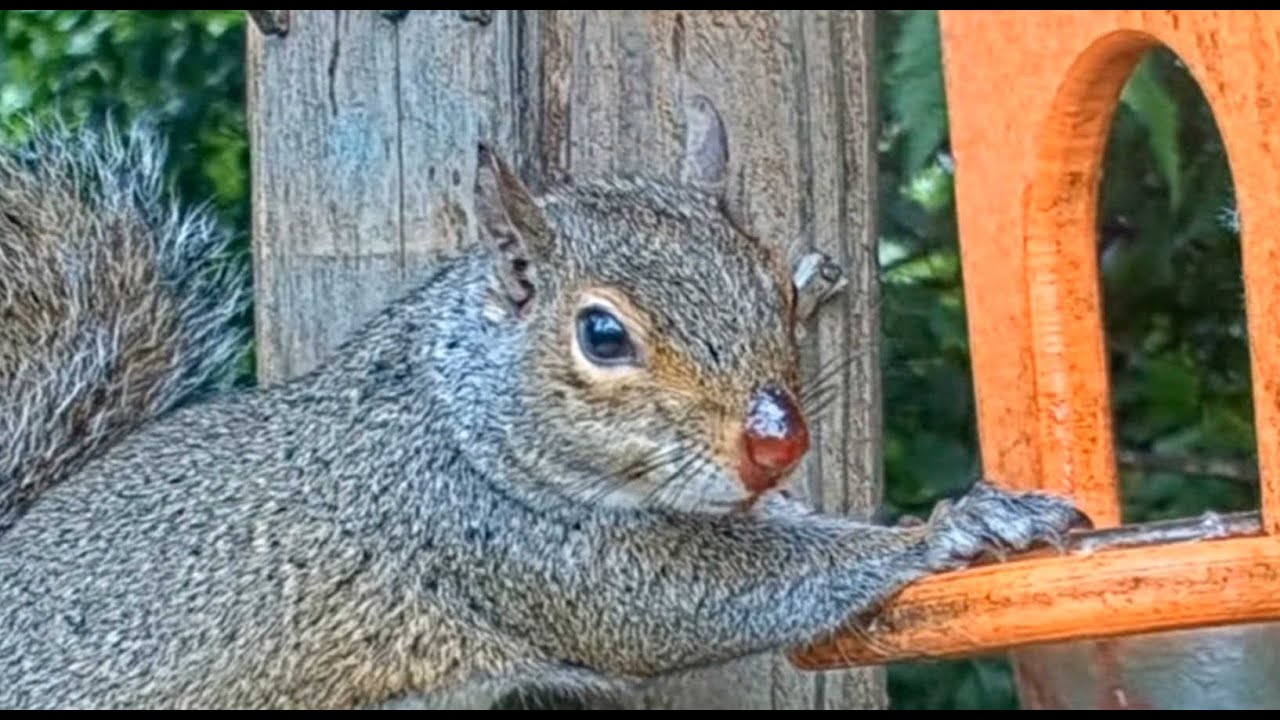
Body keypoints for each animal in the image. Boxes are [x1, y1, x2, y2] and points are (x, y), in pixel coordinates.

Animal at [0, 114, 1092, 710]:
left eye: (770, 282)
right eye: (601, 335)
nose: (776, 444)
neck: (453, 410)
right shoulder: (485, 535)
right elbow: (687, 598)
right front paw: (954, 528)